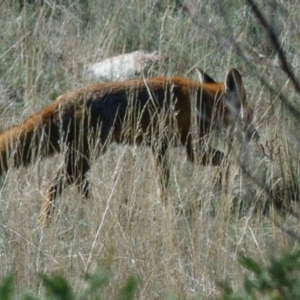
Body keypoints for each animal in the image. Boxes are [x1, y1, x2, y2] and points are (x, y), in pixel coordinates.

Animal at [0, 67, 258, 223]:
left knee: (77, 185)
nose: (256, 134)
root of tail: (61, 99)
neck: (204, 101)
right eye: (250, 112)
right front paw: (220, 184)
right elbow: (225, 161)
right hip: (85, 155)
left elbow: (163, 184)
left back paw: (94, 209)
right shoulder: (192, 148)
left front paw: (165, 207)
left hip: (84, 157)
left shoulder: (159, 146)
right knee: (54, 186)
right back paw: (45, 224)